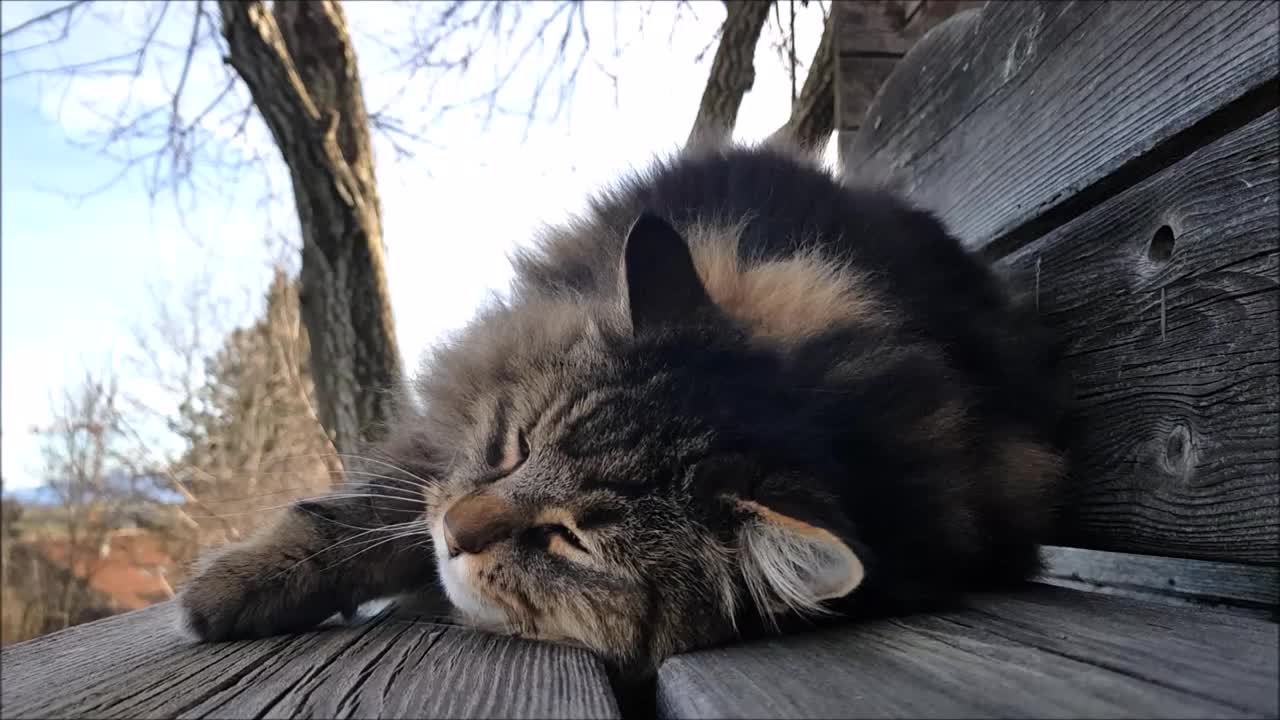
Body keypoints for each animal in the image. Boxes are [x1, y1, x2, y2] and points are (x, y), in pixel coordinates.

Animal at [180, 141, 1075, 676]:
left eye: (569, 539)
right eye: (514, 446)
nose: (455, 535)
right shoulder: (443, 442)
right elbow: (343, 519)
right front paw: (228, 591)